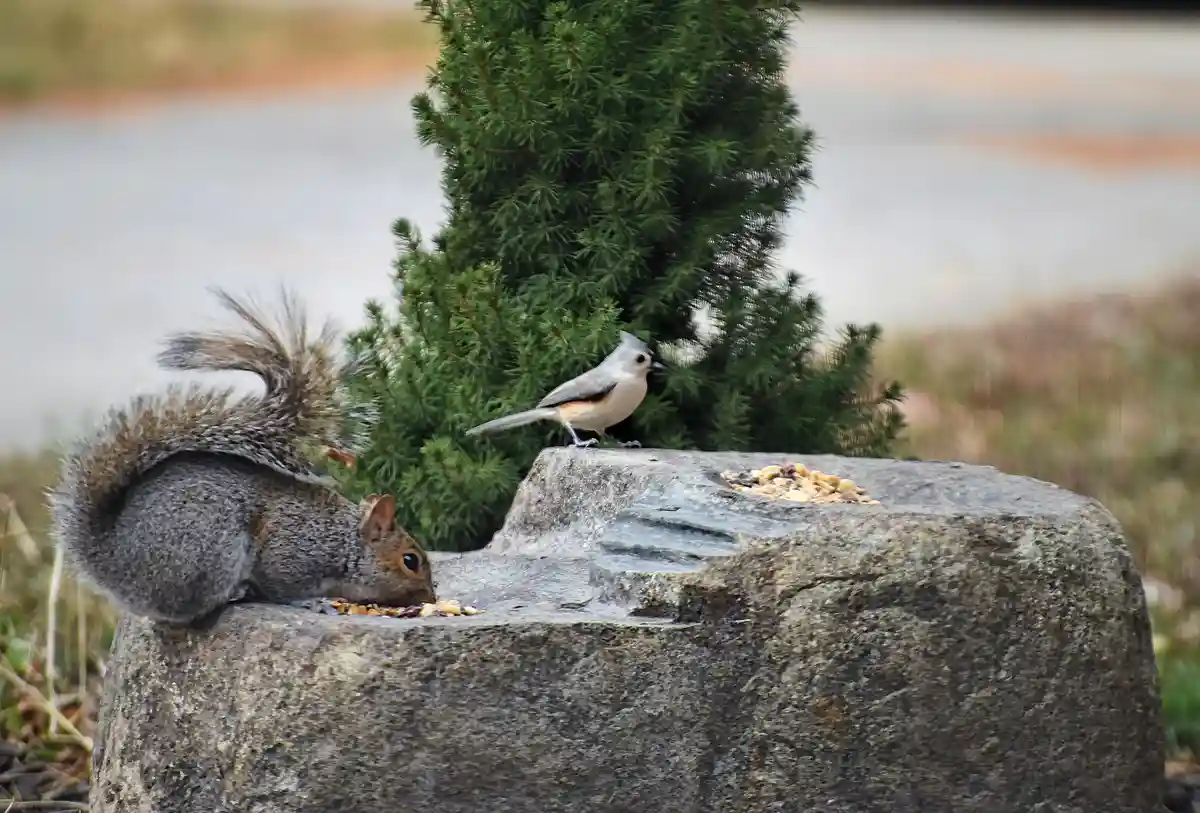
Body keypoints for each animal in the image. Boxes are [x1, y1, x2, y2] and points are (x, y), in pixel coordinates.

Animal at [49, 288, 436, 626]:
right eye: (411, 560)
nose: (431, 597)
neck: (342, 539)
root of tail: (113, 562)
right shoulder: (292, 551)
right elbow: (284, 587)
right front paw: (314, 602)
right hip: (208, 551)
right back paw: (239, 592)